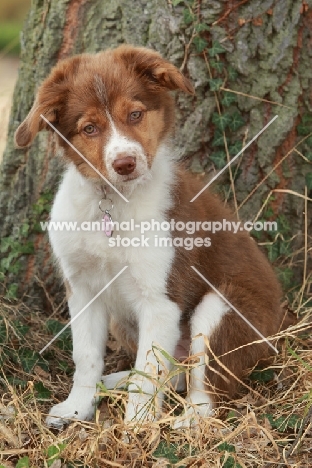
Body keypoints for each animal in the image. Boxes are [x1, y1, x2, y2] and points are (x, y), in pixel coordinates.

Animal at [14, 44, 282, 428]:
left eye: (136, 114)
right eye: (89, 128)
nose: (125, 163)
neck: (113, 201)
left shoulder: (161, 299)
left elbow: (148, 372)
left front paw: (137, 426)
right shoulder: (82, 289)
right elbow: (86, 355)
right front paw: (77, 407)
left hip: (222, 308)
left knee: (206, 382)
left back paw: (190, 419)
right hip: (122, 322)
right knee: (174, 372)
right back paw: (113, 381)